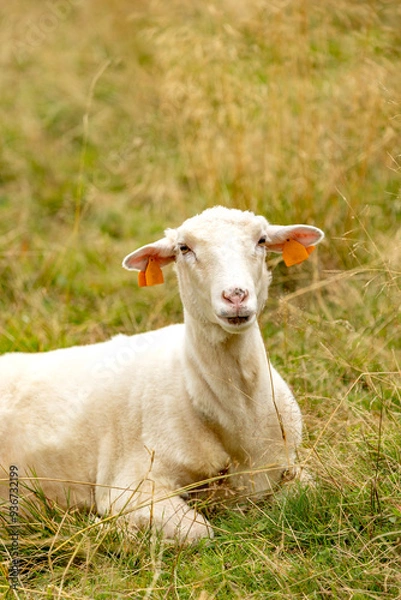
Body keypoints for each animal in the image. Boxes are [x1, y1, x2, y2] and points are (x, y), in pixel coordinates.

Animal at [0, 206, 322, 544]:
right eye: (184, 248)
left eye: (261, 240)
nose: (235, 296)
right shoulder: (131, 486)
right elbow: (199, 531)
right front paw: (120, 532)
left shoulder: (286, 465)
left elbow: (311, 491)